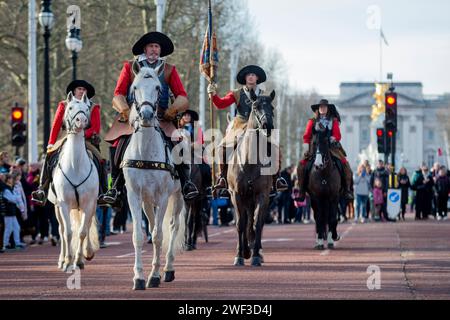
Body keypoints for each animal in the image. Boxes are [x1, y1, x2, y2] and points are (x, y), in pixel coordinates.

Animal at [48, 92, 100, 272]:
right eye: (70, 107)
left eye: (87, 109)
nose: (81, 121)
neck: (75, 165)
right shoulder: (63, 203)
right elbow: (68, 233)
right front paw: (68, 261)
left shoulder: (88, 203)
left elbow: (82, 232)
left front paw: (79, 260)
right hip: (57, 207)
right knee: (62, 230)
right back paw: (62, 259)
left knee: (87, 225)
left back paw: (87, 253)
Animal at [122, 65, 185, 290]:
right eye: (135, 87)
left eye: (158, 87)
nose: (147, 115)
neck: (146, 152)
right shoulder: (134, 196)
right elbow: (139, 236)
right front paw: (139, 277)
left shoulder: (163, 196)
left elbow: (158, 236)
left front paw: (155, 275)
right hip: (147, 201)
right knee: (151, 226)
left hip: (178, 197)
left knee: (173, 226)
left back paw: (168, 269)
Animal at [227, 89, 276, 264]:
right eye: (256, 106)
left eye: (272, 107)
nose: (268, 126)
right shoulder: (236, 194)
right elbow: (240, 224)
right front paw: (239, 256)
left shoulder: (262, 194)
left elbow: (257, 223)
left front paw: (255, 255)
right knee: (245, 222)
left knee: (253, 222)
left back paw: (255, 250)